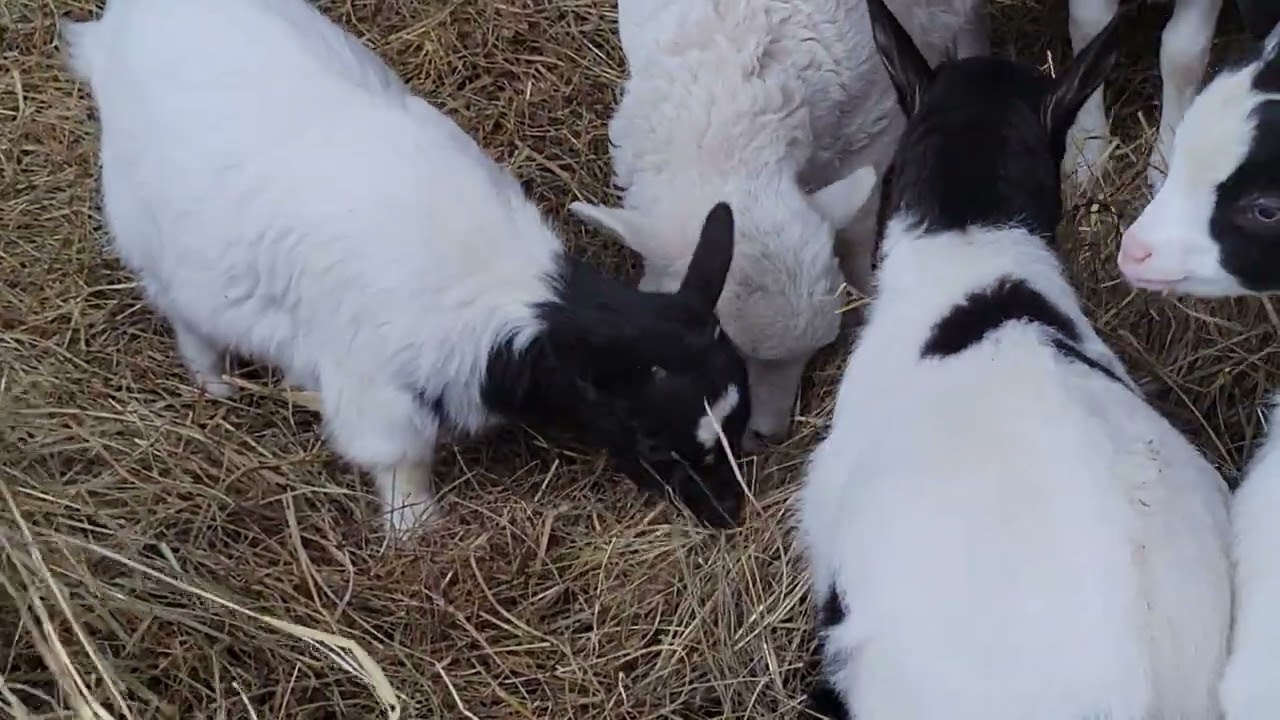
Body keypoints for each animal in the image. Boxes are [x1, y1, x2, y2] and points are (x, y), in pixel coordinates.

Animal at [60, 0, 754, 536]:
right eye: (653, 444)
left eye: (738, 416)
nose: (729, 514)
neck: (517, 303)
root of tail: (114, 30)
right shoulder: (376, 390)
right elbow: (399, 461)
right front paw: (417, 530)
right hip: (148, 231)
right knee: (187, 319)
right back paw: (217, 382)